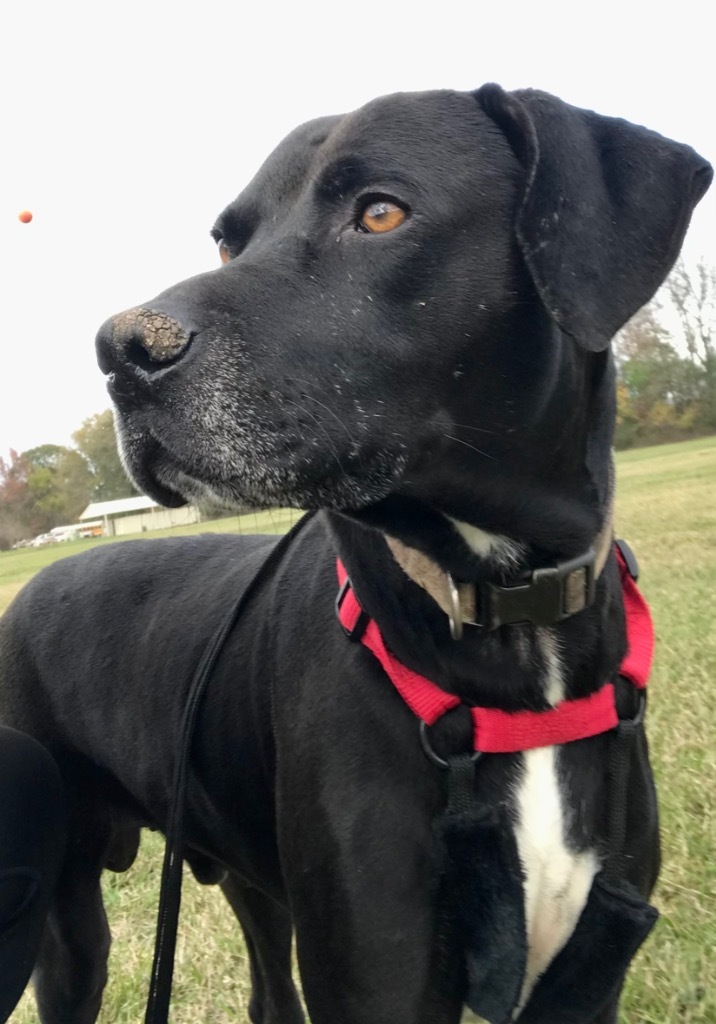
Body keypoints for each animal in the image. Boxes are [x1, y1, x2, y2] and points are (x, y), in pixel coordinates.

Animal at [1, 88, 712, 1024]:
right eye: (230, 240)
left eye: (380, 213)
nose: (121, 351)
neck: (503, 609)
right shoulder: (376, 974)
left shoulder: (587, 977)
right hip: (68, 921)